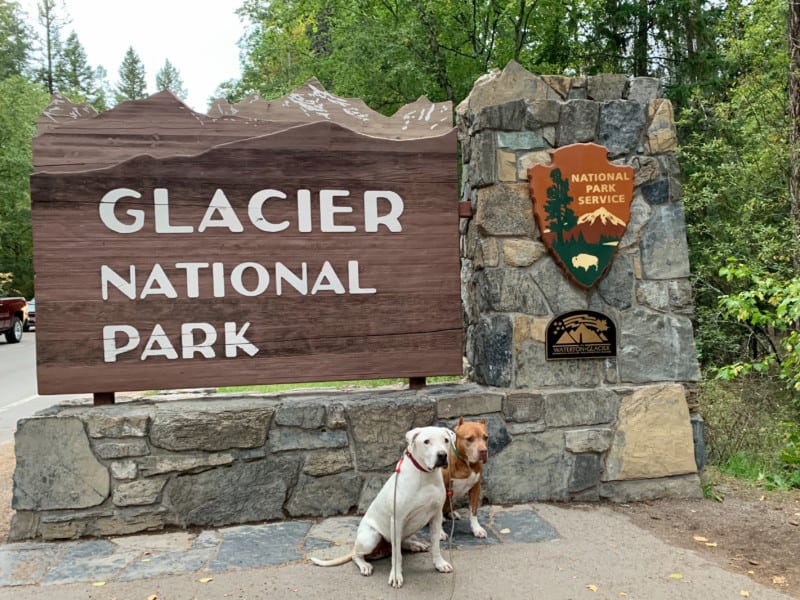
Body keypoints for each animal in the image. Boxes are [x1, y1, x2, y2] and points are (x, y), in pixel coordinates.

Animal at [308, 424, 454, 588]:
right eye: (426, 441)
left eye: (446, 440)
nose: (442, 455)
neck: (425, 476)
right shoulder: (397, 519)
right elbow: (397, 556)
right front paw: (396, 575)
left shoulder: (436, 516)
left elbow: (435, 545)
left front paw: (439, 564)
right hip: (371, 537)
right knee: (357, 555)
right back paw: (364, 565)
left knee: (401, 543)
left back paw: (414, 545)